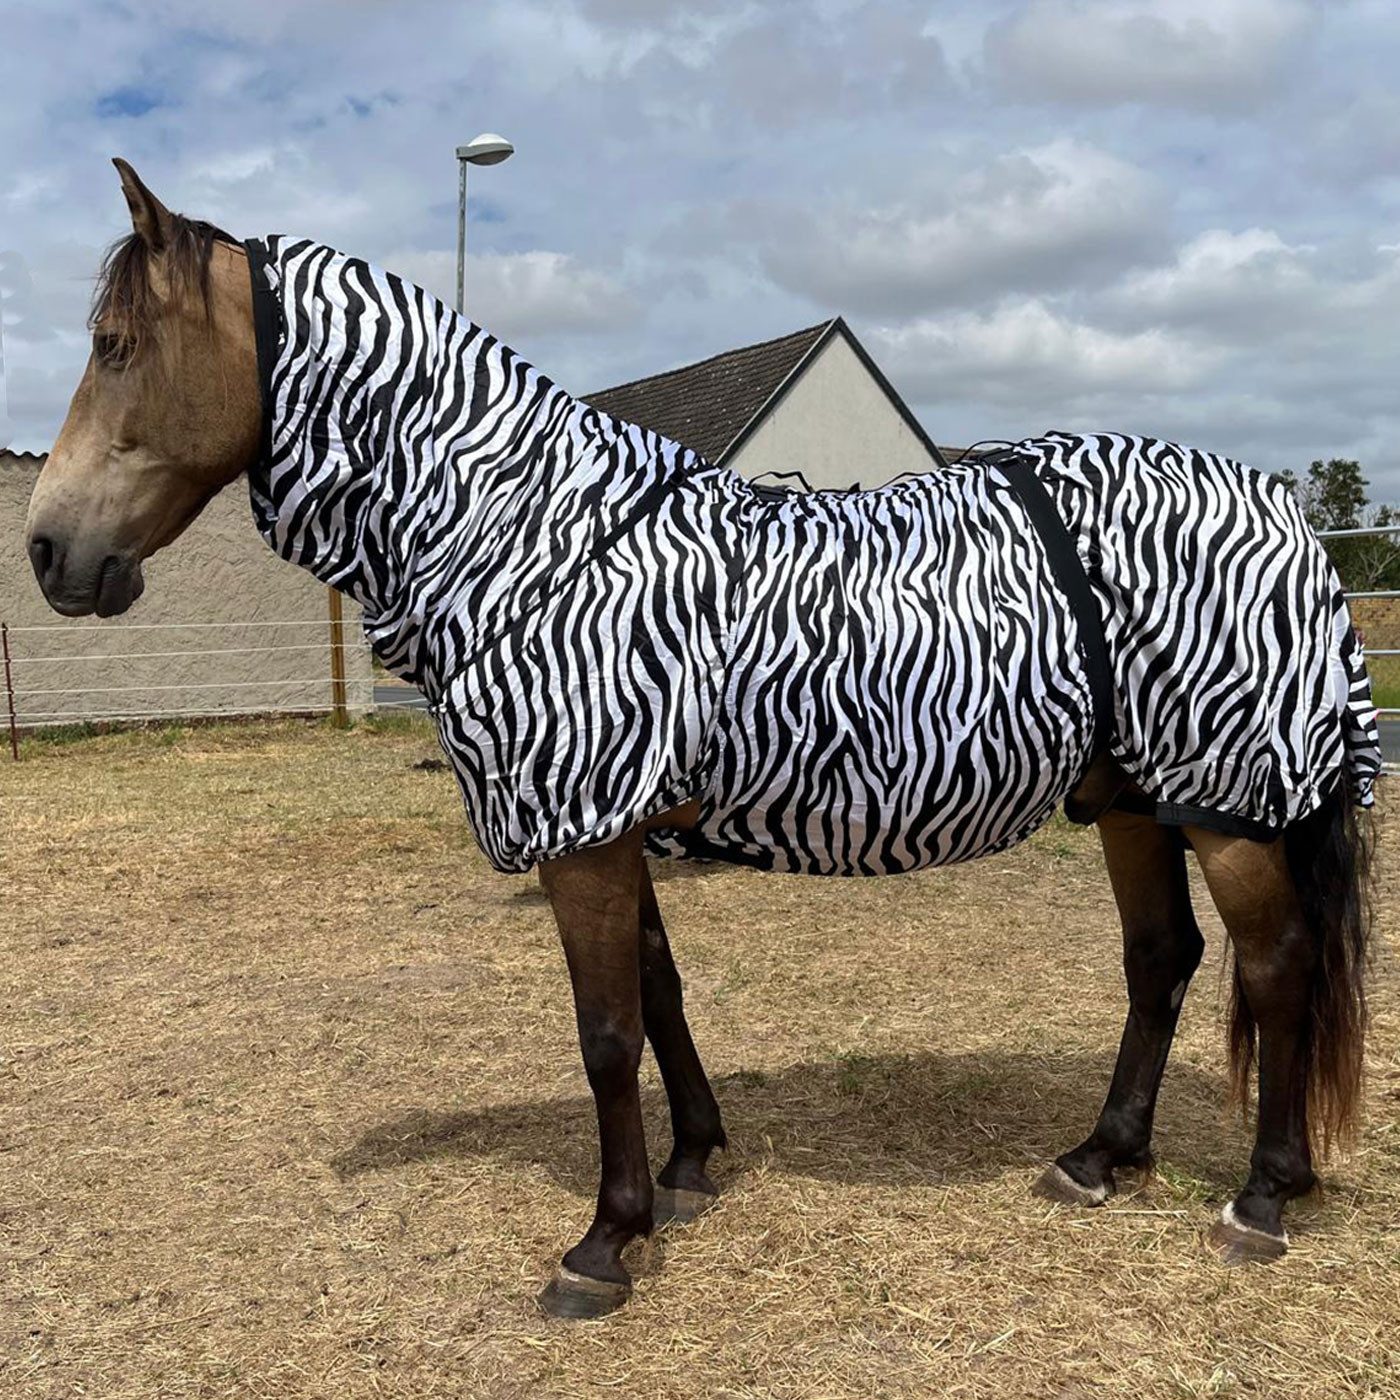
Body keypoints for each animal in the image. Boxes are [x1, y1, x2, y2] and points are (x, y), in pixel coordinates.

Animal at [25, 160, 1379, 1319]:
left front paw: (602, 1239)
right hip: (1135, 797)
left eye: (114, 346)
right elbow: (659, 994)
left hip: (1224, 803)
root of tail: (1277, 508)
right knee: (1161, 960)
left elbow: (604, 1030)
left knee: (1274, 967)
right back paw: (1101, 1157)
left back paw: (1261, 1195)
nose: (47, 551)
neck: (528, 538)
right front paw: (687, 1169)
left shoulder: (581, 827)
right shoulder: (618, 819)